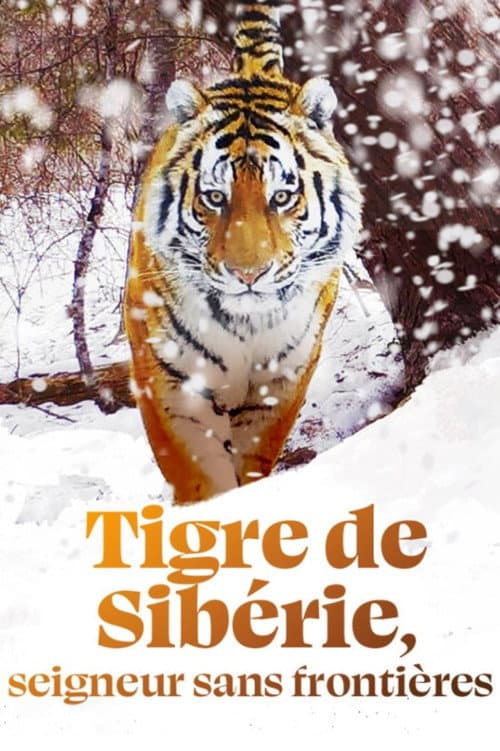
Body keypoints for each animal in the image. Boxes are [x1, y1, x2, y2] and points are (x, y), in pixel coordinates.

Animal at [125, 0, 363, 503]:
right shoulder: (172, 380)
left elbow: (253, 458)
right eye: (215, 198)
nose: (248, 275)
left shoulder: (281, 380)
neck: (245, 325)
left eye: (282, 197)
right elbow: (200, 473)